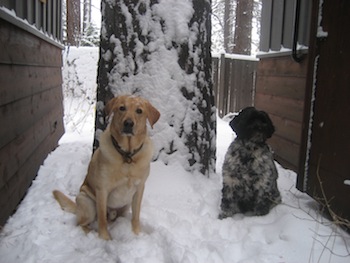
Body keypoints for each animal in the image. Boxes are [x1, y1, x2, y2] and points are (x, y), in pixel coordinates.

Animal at [53, 96, 160, 240]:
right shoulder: (102, 190)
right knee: (82, 223)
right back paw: (90, 232)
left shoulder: (139, 189)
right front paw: (104, 238)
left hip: (125, 205)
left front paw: (136, 234)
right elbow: (102, 218)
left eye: (139, 111)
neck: (127, 156)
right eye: (122, 108)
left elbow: (136, 216)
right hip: (86, 202)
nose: (128, 123)